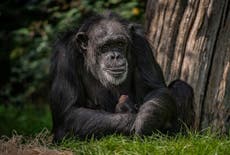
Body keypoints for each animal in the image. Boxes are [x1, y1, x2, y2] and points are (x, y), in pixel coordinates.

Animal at [49, 12, 194, 142]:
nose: (115, 56)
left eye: (119, 44)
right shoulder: (65, 56)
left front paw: (146, 120)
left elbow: (154, 89)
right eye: (105, 46)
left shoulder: (141, 43)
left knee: (181, 87)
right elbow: (71, 110)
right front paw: (132, 119)